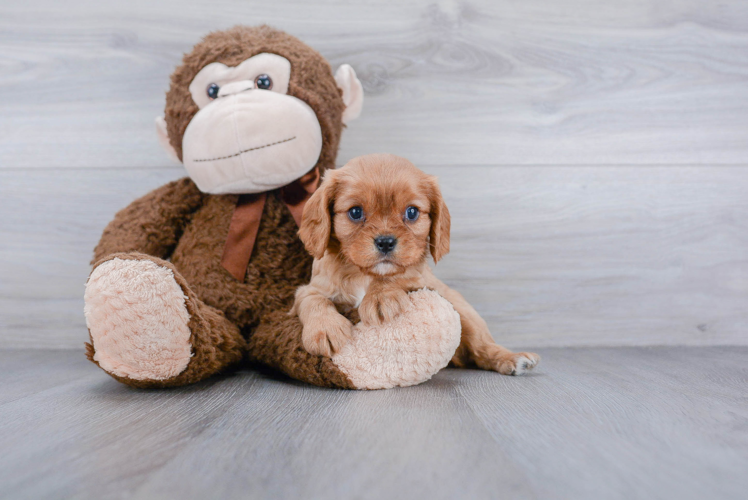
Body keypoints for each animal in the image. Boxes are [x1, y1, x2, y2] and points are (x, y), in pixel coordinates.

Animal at [290, 152, 536, 376]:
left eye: (412, 212)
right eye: (355, 212)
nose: (386, 242)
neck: (364, 275)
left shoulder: (425, 281)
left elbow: (402, 275)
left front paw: (381, 296)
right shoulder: (311, 289)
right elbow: (313, 300)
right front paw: (325, 329)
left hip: (465, 313)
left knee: (482, 348)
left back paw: (512, 358)